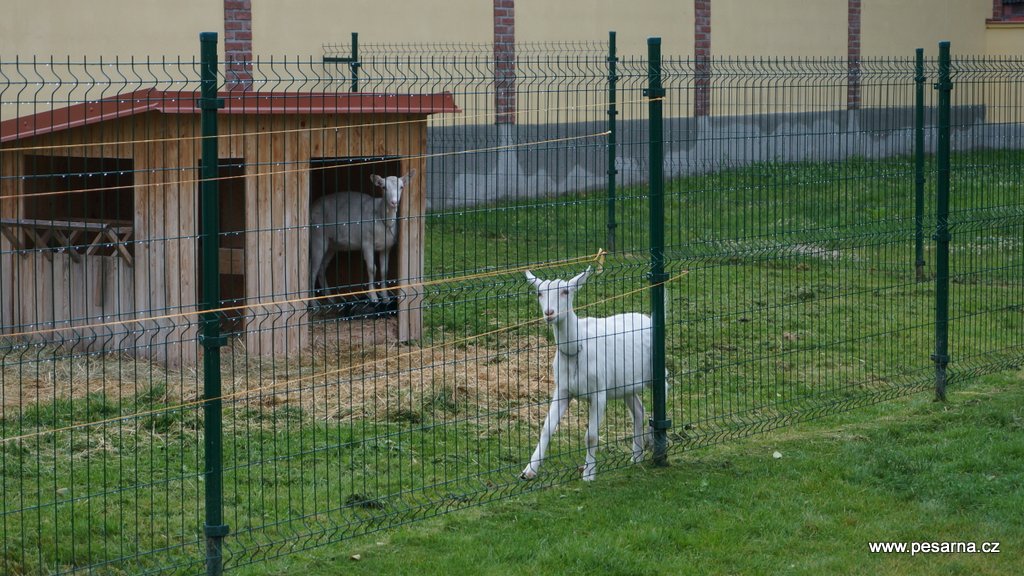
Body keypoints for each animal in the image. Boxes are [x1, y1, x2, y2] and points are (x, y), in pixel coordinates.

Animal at [307, 169, 415, 301]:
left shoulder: (386, 246)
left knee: (321, 268)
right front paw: (373, 296)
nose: (394, 202)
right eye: (383, 187)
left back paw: (330, 298)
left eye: (401, 187)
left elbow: (384, 270)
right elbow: (372, 268)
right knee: (312, 270)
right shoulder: (366, 242)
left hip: (331, 244)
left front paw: (385, 297)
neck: (380, 217)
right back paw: (313, 302)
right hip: (317, 236)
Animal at [524, 266, 659, 479]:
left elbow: (591, 436)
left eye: (566, 291)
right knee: (638, 411)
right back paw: (636, 457)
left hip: (655, 371)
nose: (549, 313)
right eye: (539, 293)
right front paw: (528, 471)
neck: (577, 348)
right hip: (624, 383)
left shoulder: (599, 392)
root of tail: (647, 317)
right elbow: (547, 428)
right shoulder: (563, 390)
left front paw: (588, 474)